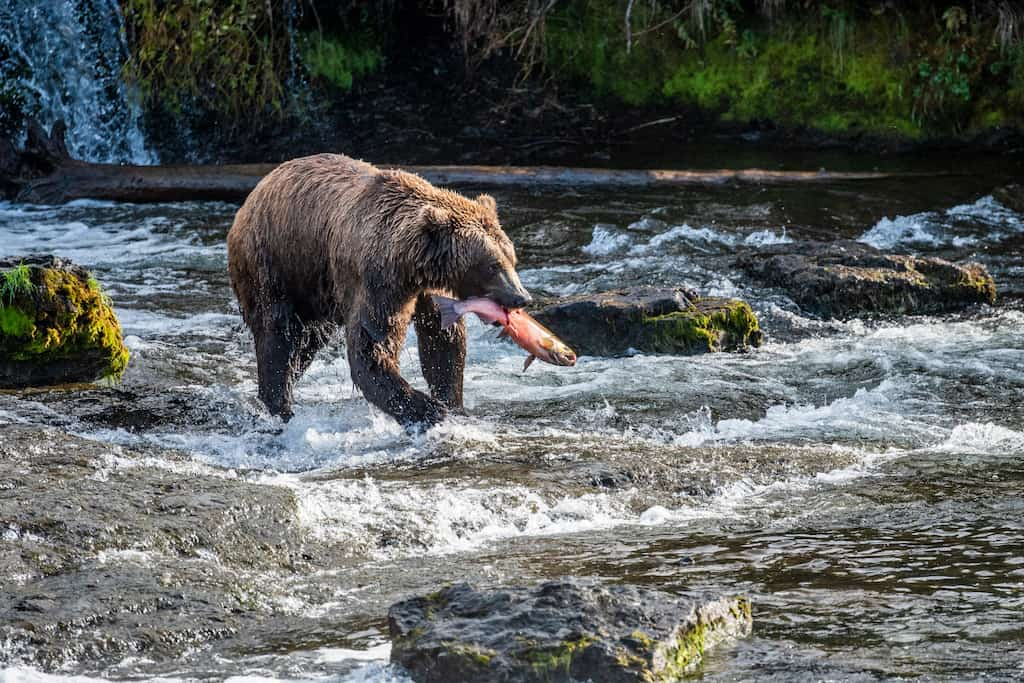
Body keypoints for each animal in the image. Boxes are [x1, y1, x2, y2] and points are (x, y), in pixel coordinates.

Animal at [227, 156, 532, 428]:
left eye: (512, 258)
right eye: (493, 265)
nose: (521, 297)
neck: (414, 264)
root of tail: (254, 194)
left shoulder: (429, 290)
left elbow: (442, 341)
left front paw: (452, 403)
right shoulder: (378, 282)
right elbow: (372, 344)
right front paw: (428, 409)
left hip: (315, 291)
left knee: (305, 345)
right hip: (273, 264)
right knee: (278, 337)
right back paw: (279, 407)